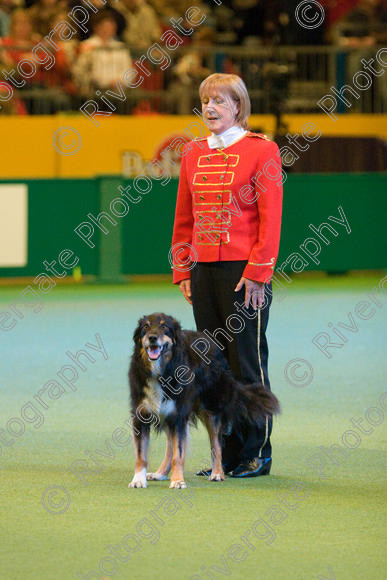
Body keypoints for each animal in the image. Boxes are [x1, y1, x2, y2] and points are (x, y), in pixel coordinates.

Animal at [129, 312, 280, 490]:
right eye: (145, 326)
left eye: (164, 326)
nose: (152, 338)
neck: (161, 370)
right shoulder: (142, 416)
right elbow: (142, 455)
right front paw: (138, 479)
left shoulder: (178, 416)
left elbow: (179, 454)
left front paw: (178, 481)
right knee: (170, 447)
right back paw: (161, 473)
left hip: (211, 409)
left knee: (217, 444)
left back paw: (218, 473)